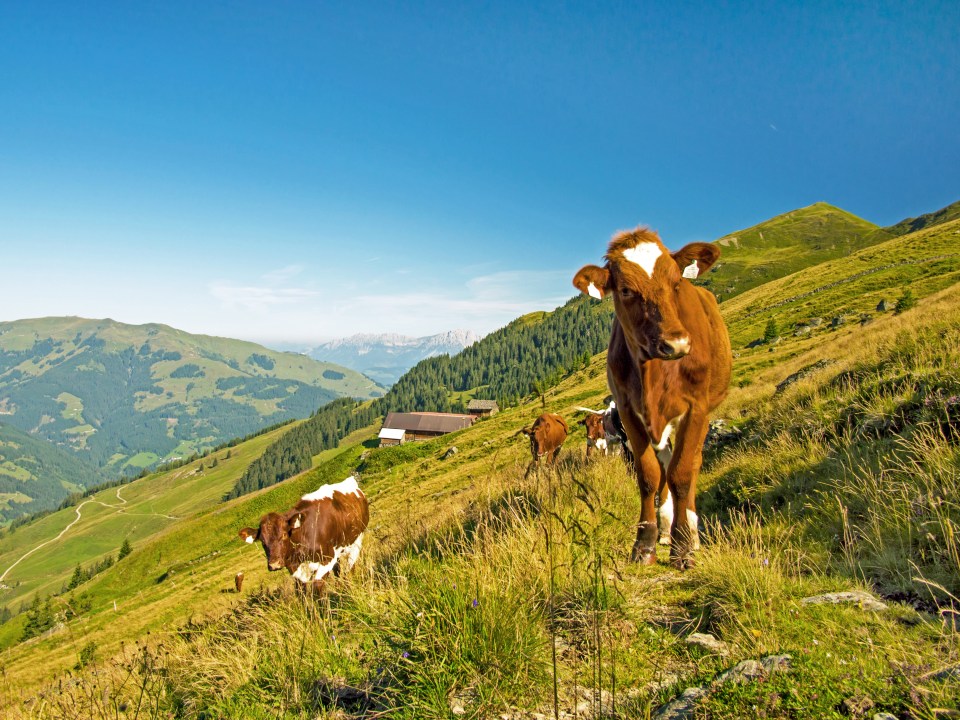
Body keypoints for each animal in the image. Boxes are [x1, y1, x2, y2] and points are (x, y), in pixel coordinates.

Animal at [240, 478, 372, 592]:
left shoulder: (327, 559)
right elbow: (300, 592)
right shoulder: (295, 569)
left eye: (284, 535)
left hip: (356, 541)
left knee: (350, 565)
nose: (274, 564)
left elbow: (317, 587)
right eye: (262, 541)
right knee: (338, 569)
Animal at [572, 226, 732, 568]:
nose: (676, 343)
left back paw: (691, 532)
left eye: (676, 282)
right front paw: (645, 543)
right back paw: (665, 526)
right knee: (665, 466)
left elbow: (682, 473)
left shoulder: (696, 408)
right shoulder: (630, 412)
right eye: (625, 290)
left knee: (690, 464)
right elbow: (648, 475)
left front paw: (683, 547)